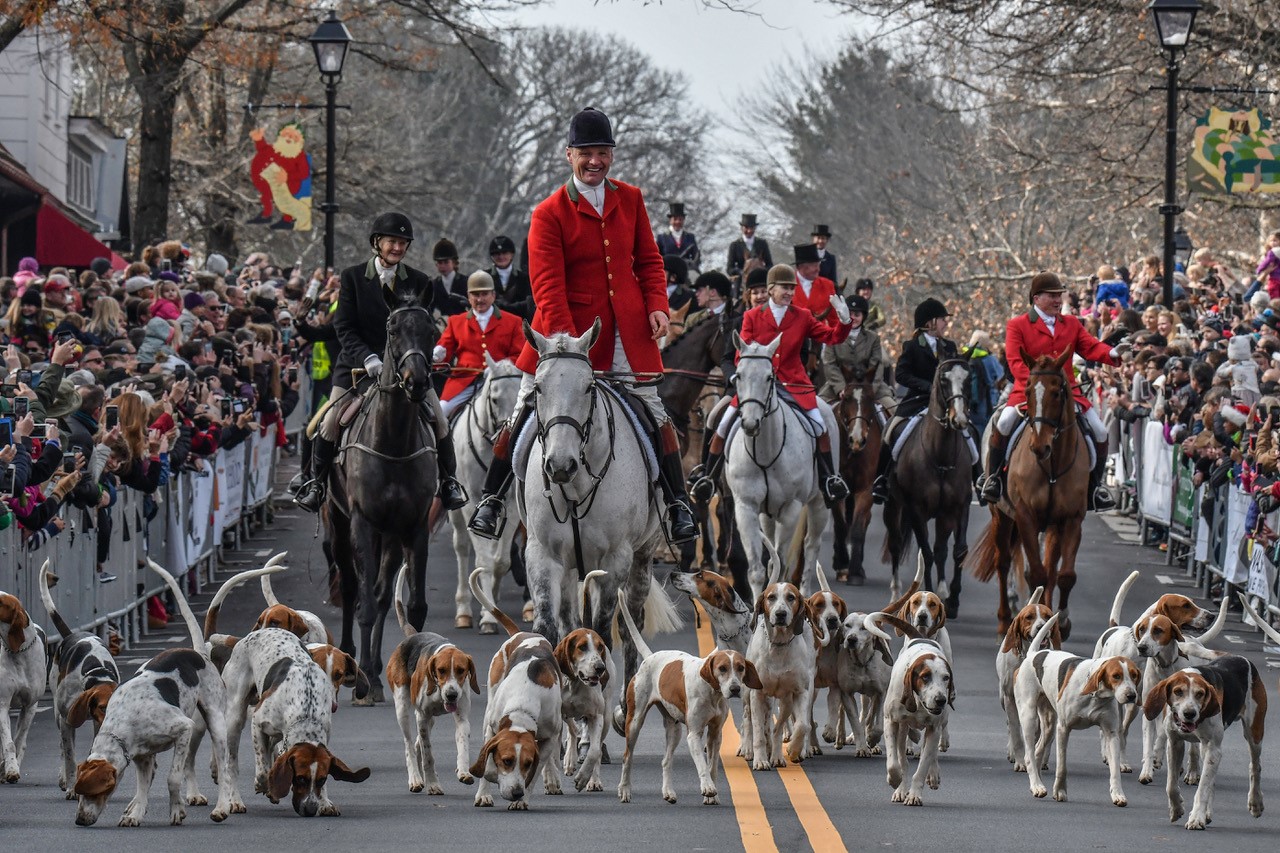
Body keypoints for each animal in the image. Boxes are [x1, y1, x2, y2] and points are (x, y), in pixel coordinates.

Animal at [325, 285, 440, 696]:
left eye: (432, 330)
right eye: (392, 330)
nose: (416, 381)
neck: (392, 442)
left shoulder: (415, 526)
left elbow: (414, 606)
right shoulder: (362, 522)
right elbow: (364, 603)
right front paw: (361, 682)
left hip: (389, 536)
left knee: (378, 591)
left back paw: (374, 668)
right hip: (339, 525)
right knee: (351, 589)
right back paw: (351, 659)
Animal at [450, 350, 524, 630]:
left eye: (520, 397)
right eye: (494, 398)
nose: (507, 438)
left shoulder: (511, 507)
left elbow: (500, 562)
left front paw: (490, 604)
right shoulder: (472, 504)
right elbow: (483, 561)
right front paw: (488, 616)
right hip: (456, 511)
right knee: (461, 547)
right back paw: (463, 609)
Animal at [517, 318, 680, 696]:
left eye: (589, 387)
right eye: (538, 389)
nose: (560, 465)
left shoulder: (615, 560)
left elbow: (603, 630)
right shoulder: (541, 554)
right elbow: (549, 630)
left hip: (641, 557)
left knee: (631, 621)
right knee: (570, 622)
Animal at [727, 333, 834, 596]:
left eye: (769, 377)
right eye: (739, 375)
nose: (750, 423)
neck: (765, 453)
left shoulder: (791, 507)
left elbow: (783, 566)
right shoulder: (745, 507)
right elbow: (757, 570)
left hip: (819, 504)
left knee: (811, 546)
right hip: (767, 514)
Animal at [967, 350, 1090, 637]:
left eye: (1057, 392)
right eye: (1027, 390)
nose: (1039, 446)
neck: (1053, 464)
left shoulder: (1071, 519)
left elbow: (1064, 575)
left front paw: (1061, 621)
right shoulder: (1025, 517)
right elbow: (1036, 575)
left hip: (1051, 527)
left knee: (1051, 569)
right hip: (1001, 516)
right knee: (1003, 562)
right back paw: (1004, 619)